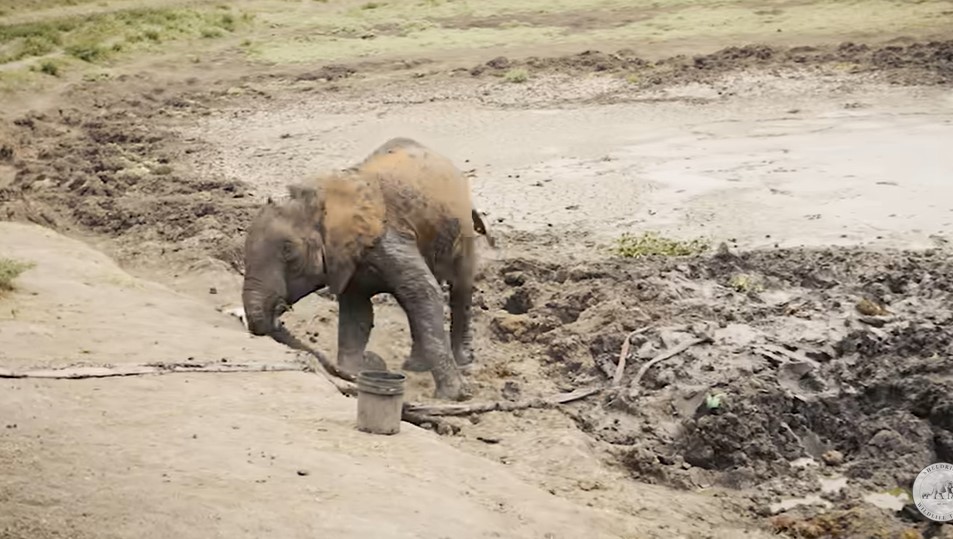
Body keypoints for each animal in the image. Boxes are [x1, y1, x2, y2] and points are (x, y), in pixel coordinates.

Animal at [238, 138, 490, 400]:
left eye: (289, 252)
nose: (279, 313)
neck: (322, 203)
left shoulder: (387, 237)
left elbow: (425, 292)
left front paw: (453, 396)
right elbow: (357, 312)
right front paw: (353, 371)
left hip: (463, 230)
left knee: (459, 287)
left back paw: (462, 362)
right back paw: (415, 366)